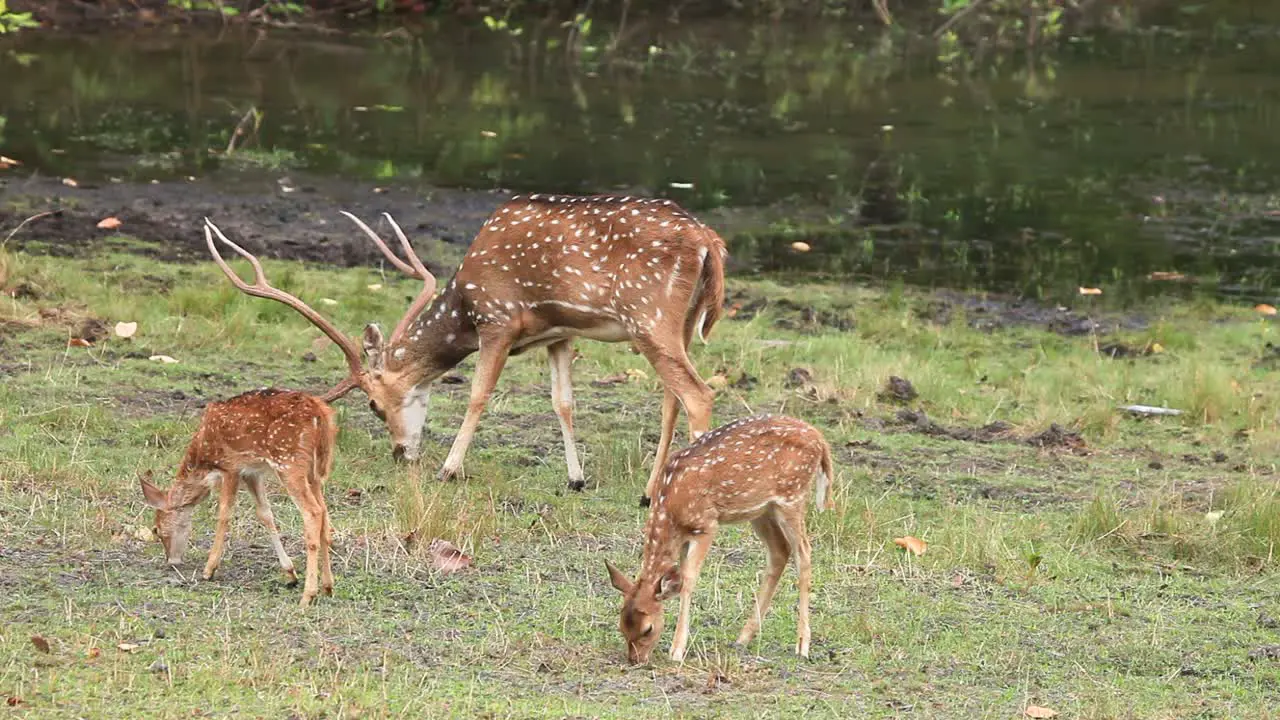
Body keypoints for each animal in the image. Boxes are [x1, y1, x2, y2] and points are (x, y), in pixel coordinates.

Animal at [138, 386, 337, 604]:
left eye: (156, 529)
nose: (171, 561)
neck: (203, 460)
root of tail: (320, 415)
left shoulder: (230, 466)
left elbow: (224, 514)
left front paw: (209, 570)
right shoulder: (251, 472)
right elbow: (265, 514)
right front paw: (290, 573)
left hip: (288, 460)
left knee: (313, 512)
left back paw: (308, 596)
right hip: (314, 471)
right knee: (325, 514)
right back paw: (328, 586)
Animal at [207, 192, 732, 504]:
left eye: (374, 405)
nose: (400, 453)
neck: (464, 303)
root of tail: (710, 241)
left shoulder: (498, 319)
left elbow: (478, 394)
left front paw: (448, 469)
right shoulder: (559, 333)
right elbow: (563, 402)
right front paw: (575, 478)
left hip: (649, 315)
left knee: (699, 394)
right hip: (678, 325)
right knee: (672, 398)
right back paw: (648, 491)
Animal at [604, 409, 834, 661]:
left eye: (648, 629)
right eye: (621, 626)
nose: (635, 660)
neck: (670, 505)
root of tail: (821, 440)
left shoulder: (706, 524)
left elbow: (687, 580)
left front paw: (677, 650)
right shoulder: (684, 536)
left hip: (792, 496)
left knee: (803, 553)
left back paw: (802, 645)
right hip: (762, 510)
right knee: (779, 551)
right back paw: (743, 638)